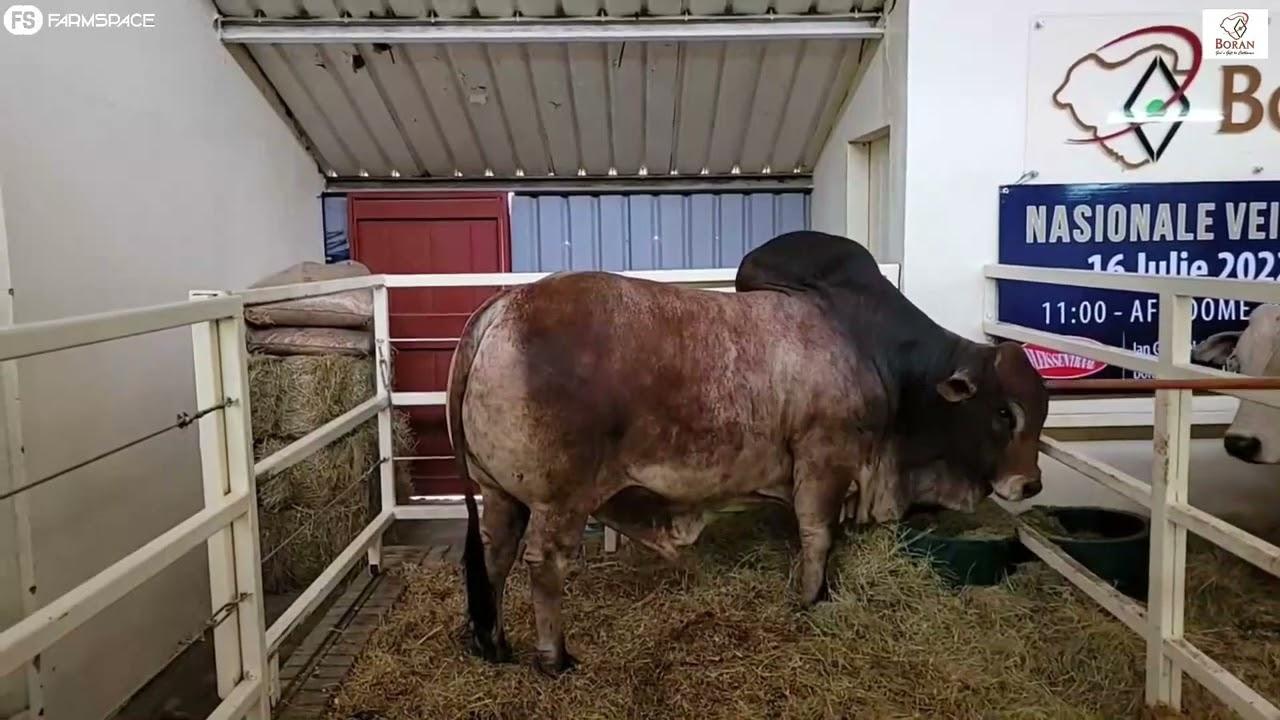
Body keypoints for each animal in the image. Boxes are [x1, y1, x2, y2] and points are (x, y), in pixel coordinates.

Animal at [445, 230, 1049, 676]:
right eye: (1004, 413)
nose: (1031, 484)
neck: (875, 354)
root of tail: (501, 308)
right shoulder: (824, 460)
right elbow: (819, 535)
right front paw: (811, 598)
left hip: (498, 492)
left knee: (496, 554)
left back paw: (494, 642)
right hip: (560, 499)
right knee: (544, 563)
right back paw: (554, 658)